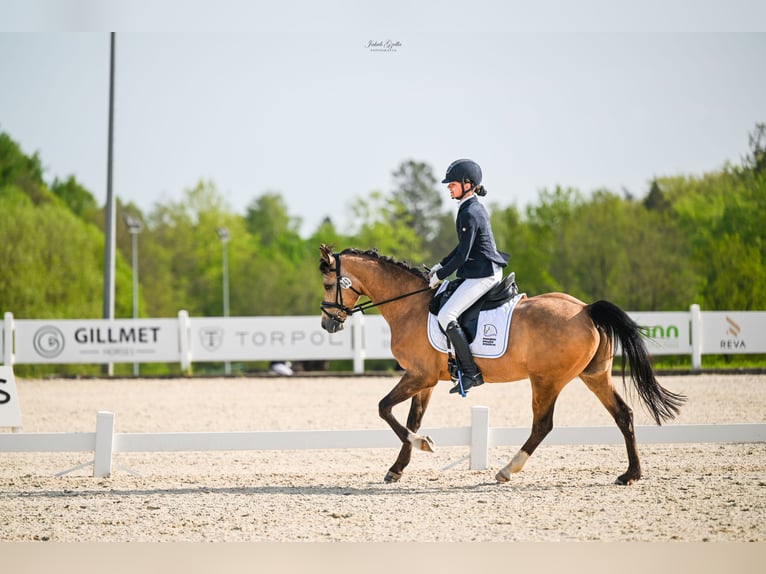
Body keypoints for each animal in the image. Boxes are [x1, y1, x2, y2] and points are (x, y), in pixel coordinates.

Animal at [316, 245, 688, 488]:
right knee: (623, 415)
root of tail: (585, 310)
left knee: (543, 425)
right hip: (594, 376)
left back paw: (508, 470)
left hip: (546, 380)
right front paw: (398, 467)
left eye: (328, 284)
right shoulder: (426, 380)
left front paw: (423, 445)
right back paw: (630, 474)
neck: (410, 305)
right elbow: (410, 419)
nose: (327, 325)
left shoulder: (418, 375)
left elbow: (384, 409)